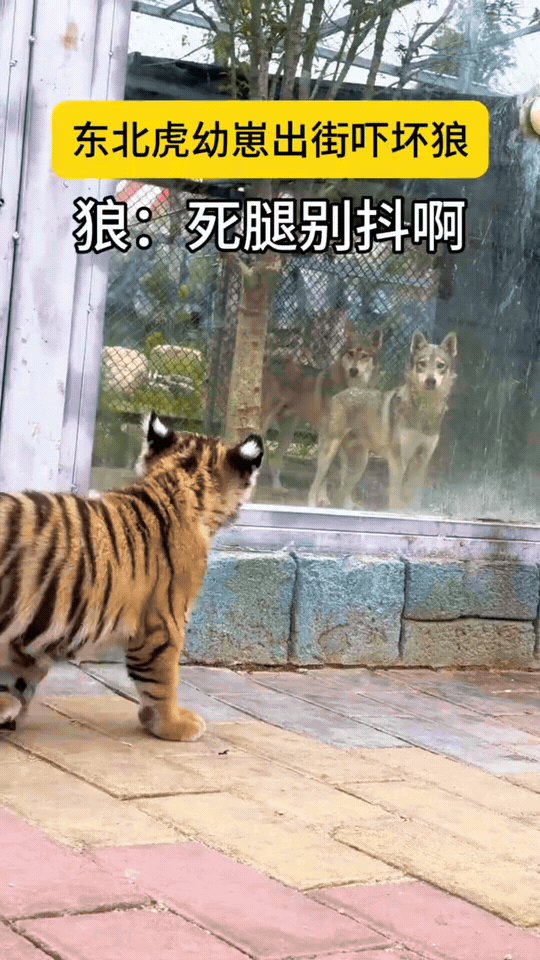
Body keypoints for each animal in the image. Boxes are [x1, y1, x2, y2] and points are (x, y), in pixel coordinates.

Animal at [0, 412, 263, 741]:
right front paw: (173, 724)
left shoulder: (33, 634)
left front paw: (10, 708)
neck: (179, 482)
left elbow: (22, 671)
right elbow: (163, 680)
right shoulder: (164, 622)